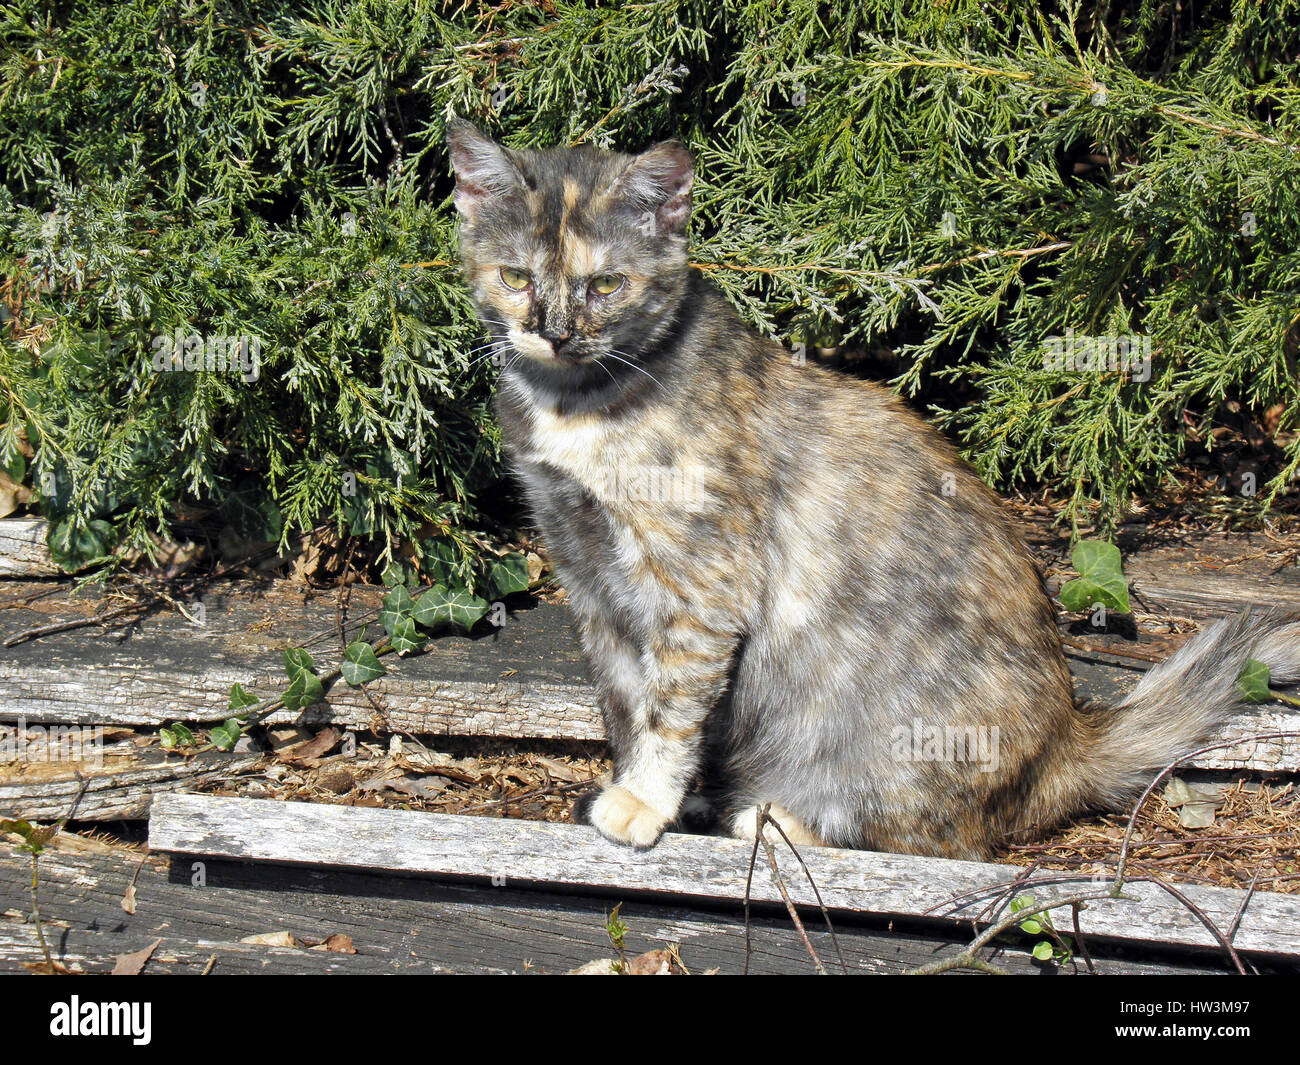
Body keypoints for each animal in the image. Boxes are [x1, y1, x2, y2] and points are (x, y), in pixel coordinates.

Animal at [447, 116, 1300, 863]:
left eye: (605, 284)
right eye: (515, 276)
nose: (553, 330)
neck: (575, 403)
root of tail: (1067, 744)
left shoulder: (700, 585)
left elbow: (668, 708)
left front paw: (643, 801)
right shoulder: (591, 580)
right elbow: (624, 702)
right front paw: (639, 788)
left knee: (946, 838)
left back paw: (775, 818)